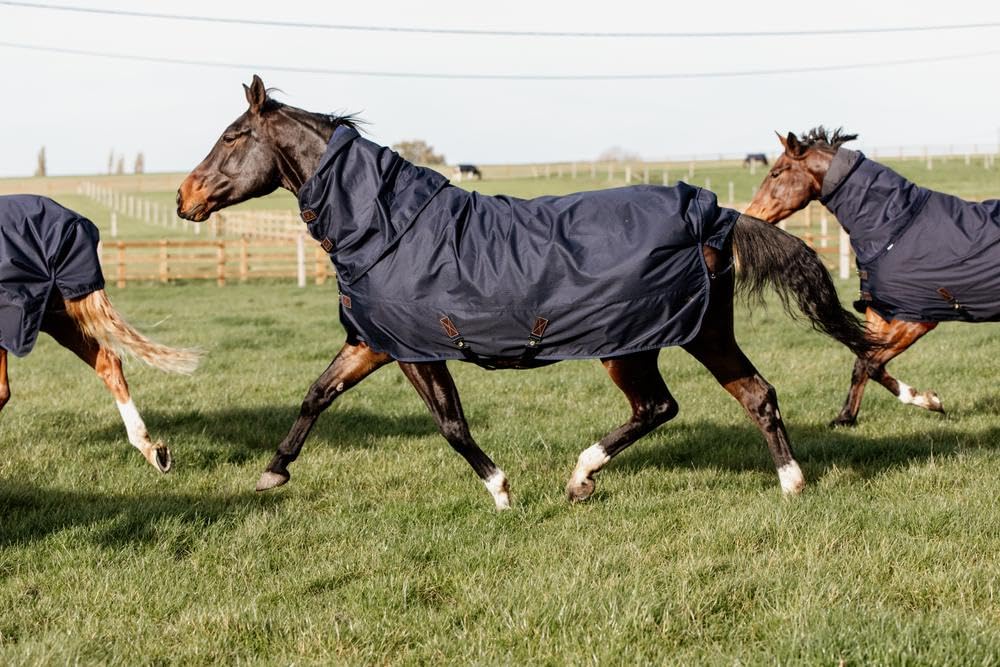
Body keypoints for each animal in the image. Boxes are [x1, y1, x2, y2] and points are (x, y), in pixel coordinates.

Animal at [176, 76, 875, 509]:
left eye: (233, 137)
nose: (185, 198)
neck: (389, 227)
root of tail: (718, 215)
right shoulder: (372, 343)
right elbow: (317, 394)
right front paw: (273, 472)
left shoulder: (412, 350)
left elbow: (450, 423)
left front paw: (501, 490)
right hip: (703, 332)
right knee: (756, 395)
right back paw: (791, 484)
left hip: (633, 344)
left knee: (659, 407)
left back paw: (581, 476)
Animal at [746, 127, 1000, 426]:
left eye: (775, 173)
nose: (750, 214)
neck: (893, 230)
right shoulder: (880, 313)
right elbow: (861, 362)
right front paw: (844, 418)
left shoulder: (915, 319)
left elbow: (873, 364)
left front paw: (928, 400)